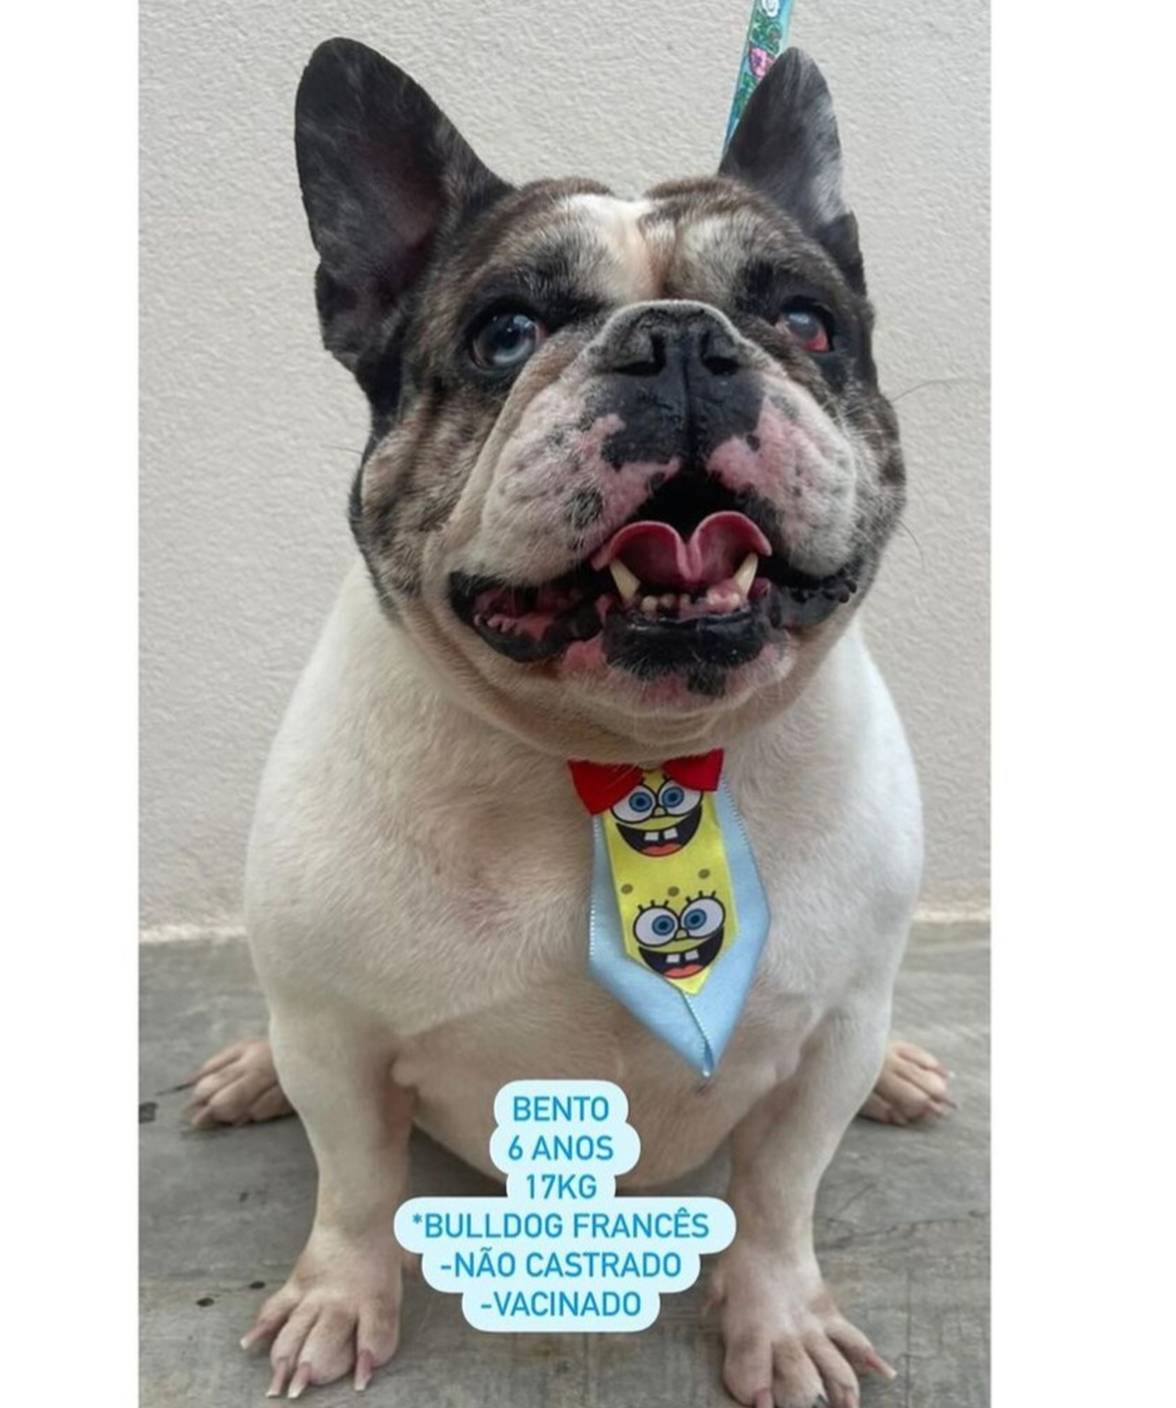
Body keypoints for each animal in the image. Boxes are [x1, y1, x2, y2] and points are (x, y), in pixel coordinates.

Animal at [186, 37, 953, 1405]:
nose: (683, 341)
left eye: (804, 321)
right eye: (506, 333)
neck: (625, 763)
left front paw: (780, 1322)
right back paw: (249, 1068)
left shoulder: (829, 1039)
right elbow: (353, 1184)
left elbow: (779, 1195)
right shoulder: (336, 1035)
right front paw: (338, 1300)